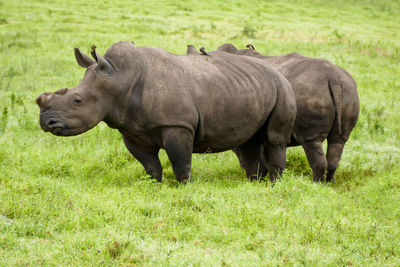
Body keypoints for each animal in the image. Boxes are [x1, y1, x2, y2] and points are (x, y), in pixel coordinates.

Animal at [36, 42, 296, 184]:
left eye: (77, 100)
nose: (46, 123)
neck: (120, 78)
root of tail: (277, 71)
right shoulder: (131, 130)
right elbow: (150, 166)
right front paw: (153, 186)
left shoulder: (176, 124)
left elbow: (181, 164)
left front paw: (185, 189)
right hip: (252, 87)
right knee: (249, 142)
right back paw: (254, 182)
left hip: (283, 89)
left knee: (274, 140)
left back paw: (273, 185)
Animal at [216, 43, 360, 184]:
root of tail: (333, 78)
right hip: (349, 91)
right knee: (337, 141)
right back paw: (330, 184)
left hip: (312, 93)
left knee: (311, 140)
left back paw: (315, 184)